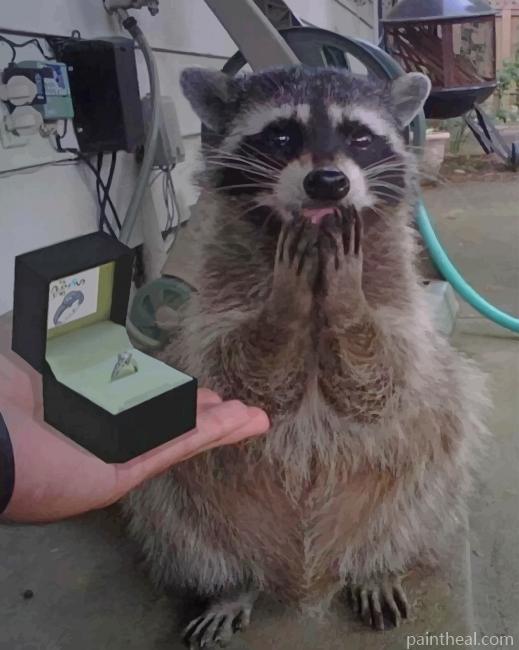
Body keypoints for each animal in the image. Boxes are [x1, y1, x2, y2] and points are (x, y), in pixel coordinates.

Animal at [124, 66, 489, 647]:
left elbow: (386, 382)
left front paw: (348, 305)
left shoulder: (401, 302)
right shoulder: (212, 309)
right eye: (281, 135)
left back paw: (376, 566)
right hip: (193, 513)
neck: (317, 253)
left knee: (434, 468)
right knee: (171, 506)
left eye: (359, 137)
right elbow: (238, 383)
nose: (327, 183)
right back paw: (230, 585)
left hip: (415, 494)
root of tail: (305, 575)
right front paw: (283, 310)